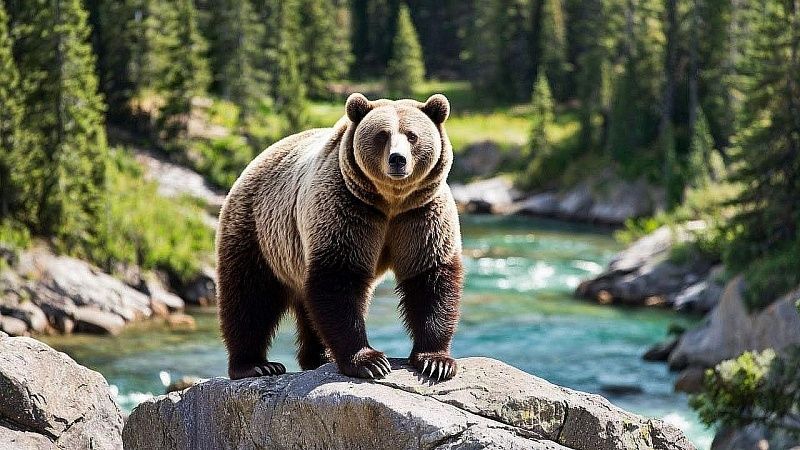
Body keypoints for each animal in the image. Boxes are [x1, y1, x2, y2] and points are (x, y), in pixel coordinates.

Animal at [216, 92, 463, 381]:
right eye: (382, 134)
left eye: (412, 135)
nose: (397, 159)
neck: (391, 201)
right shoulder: (346, 208)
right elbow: (338, 278)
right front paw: (369, 361)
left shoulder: (420, 214)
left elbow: (430, 278)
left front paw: (435, 362)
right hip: (259, 230)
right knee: (249, 294)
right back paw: (255, 364)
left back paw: (318, 357)